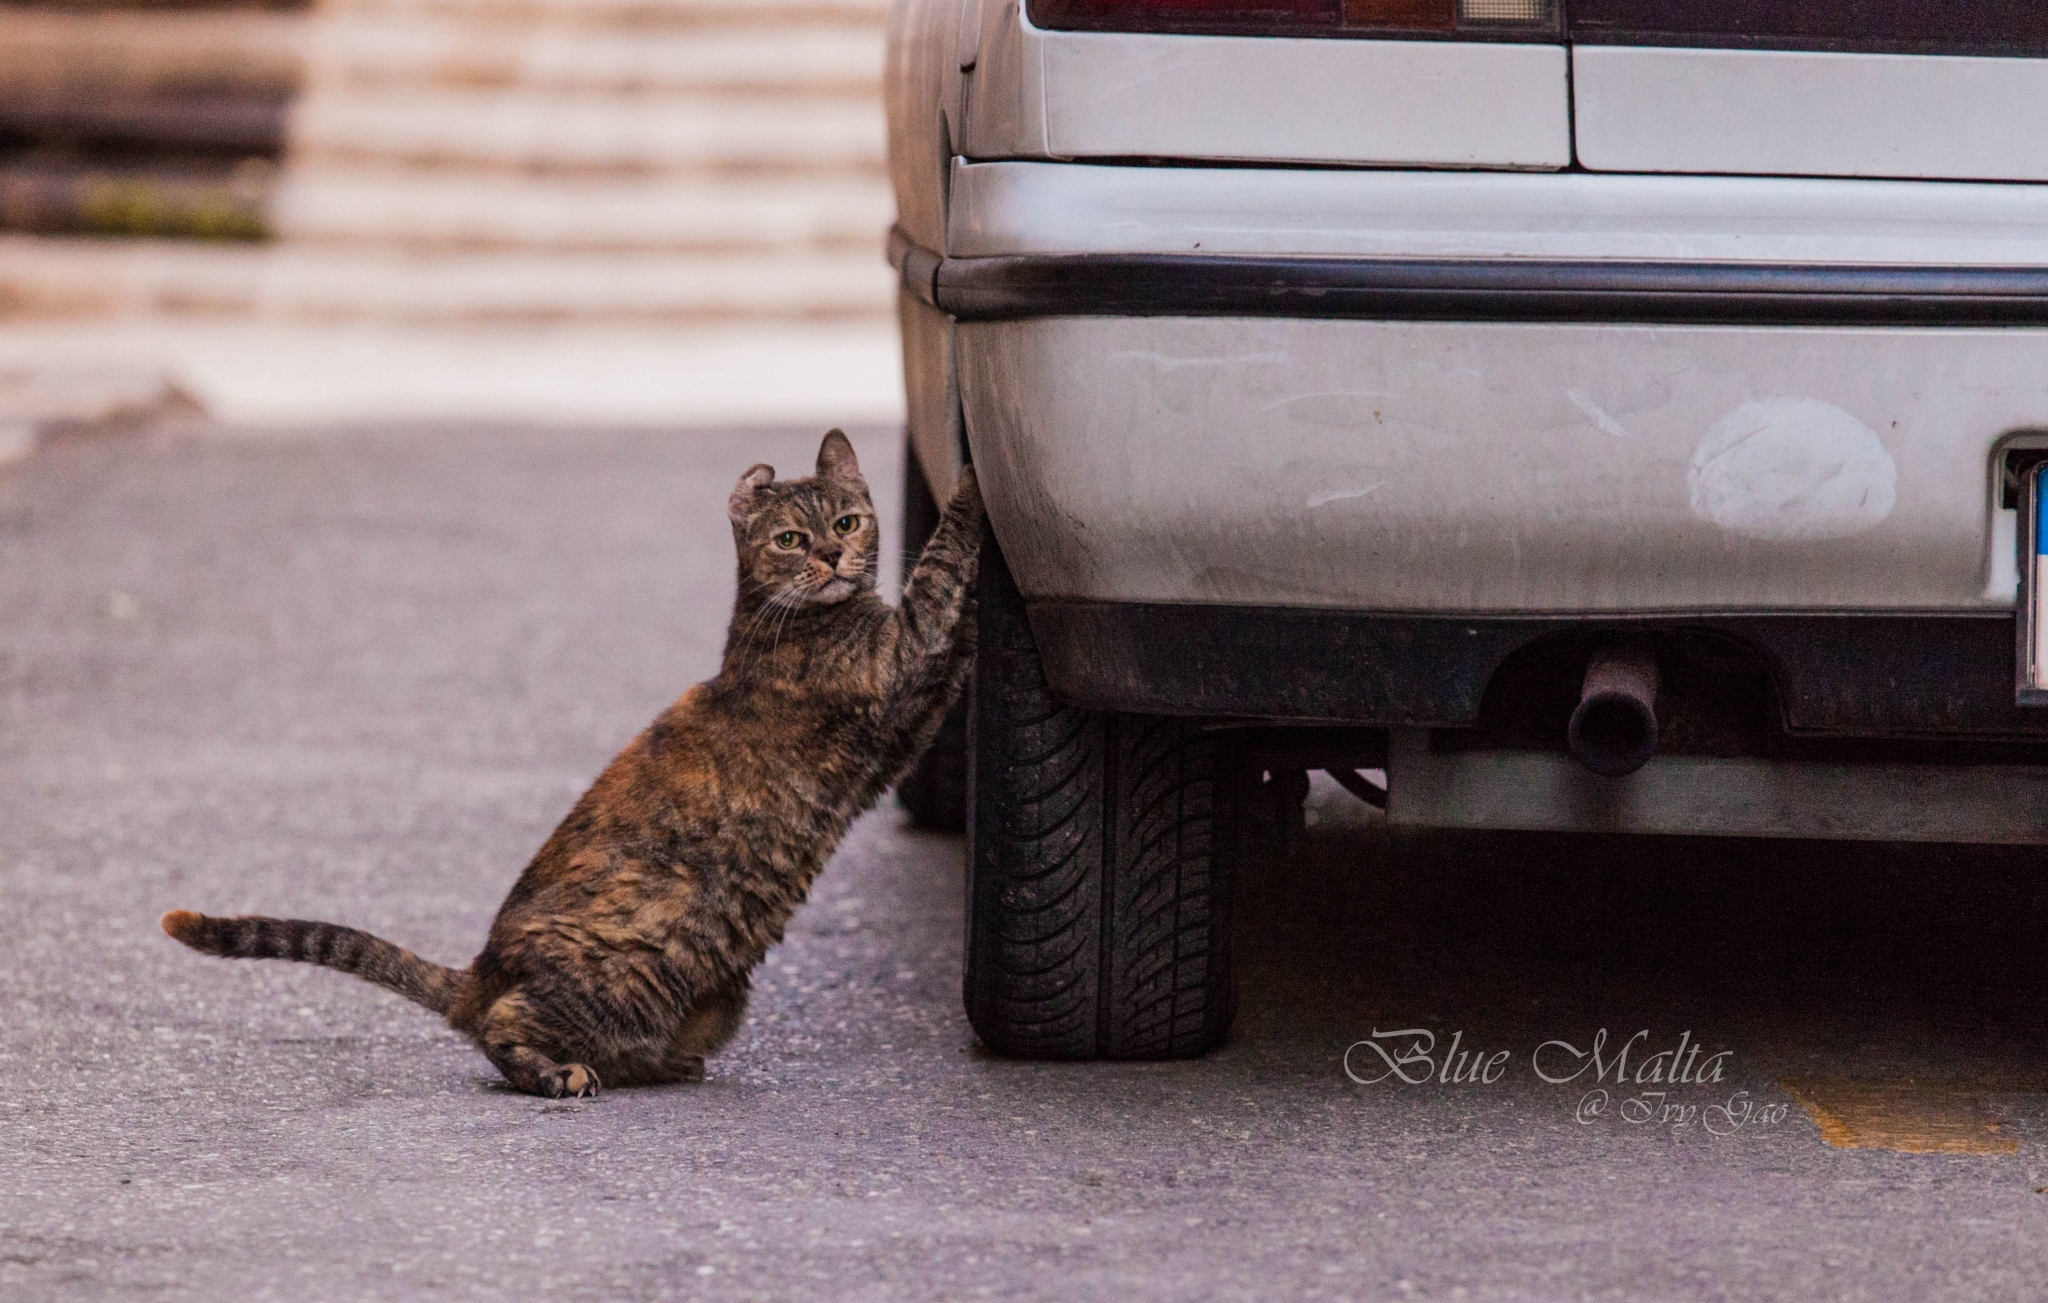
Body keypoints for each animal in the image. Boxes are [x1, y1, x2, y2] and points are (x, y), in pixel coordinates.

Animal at [167, 432, 983, 1098]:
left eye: (847, 522)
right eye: (789, 537)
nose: (832, 556)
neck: (787, 621)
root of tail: (482, 971)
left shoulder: (905, 725)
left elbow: (959, 638)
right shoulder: (899, 656)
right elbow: (941, 571)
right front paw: (975, 486)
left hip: (716, 999)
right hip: (622, 977)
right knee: (502, 1029)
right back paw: (557, 1073)